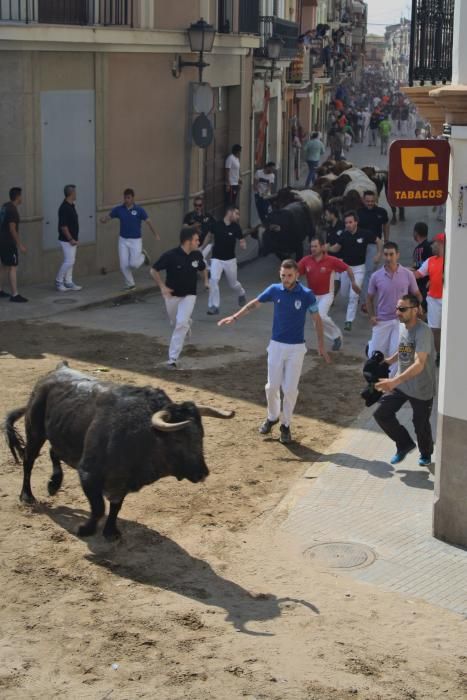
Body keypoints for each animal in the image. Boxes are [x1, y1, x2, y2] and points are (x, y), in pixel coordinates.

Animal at [4, 364, 236, 540]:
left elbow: (116, 506)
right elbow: (99, 508)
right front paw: (85, 529)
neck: (142, 435)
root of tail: (57, 370)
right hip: (35, 431)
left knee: (54, 451)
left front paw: (110, 531)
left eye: (201, 435)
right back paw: (27, 496)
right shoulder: (88, 474)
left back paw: (54, 483)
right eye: (178, 438)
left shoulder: (122, 481)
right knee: (29, 461)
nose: (203, 473)